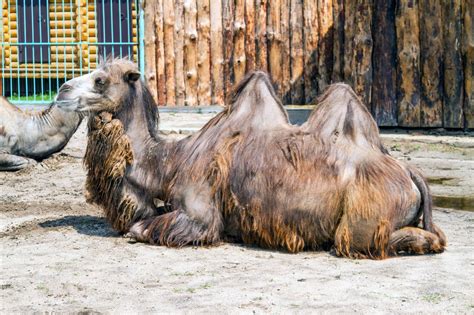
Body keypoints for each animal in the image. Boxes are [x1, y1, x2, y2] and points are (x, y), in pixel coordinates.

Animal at [55, 59, 444, 260]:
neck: (171, 161)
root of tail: (410, 172)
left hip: (365, 212)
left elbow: (141, 229)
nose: (61, 90)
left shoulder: (199, 213)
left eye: (100, 79)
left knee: (354, 240)